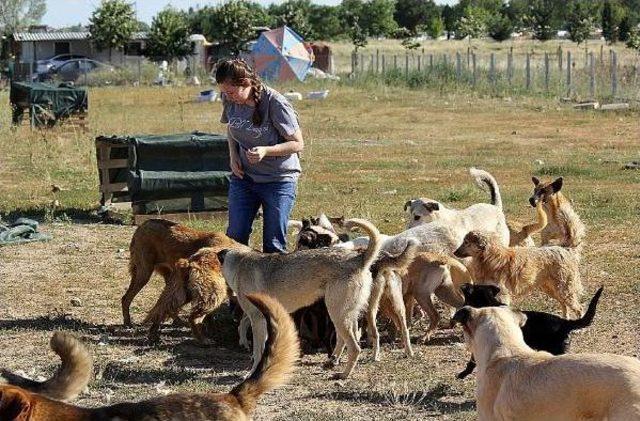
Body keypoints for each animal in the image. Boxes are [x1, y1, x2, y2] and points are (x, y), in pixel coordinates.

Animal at [218, 218, 418, 378]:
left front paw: (252, 373)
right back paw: (334, 362)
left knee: (355, 347)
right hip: (349, 315)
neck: (240, 262)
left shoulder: (257, 321)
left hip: (339, 313)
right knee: (351, 339)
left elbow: (258, 352)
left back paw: (344, 374)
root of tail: (359, 258)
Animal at [452, 231, 584, 316]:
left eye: (466, 242)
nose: (454, 252)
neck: (487, 258)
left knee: (579, 309)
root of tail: (565, 250)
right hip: (552, 290)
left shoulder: (502, 295)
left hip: (564, 290)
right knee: (564, 306)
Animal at [458, 282, 604, 378]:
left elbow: (471, 361)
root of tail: (565, 323)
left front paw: (463, 373)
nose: (463, 284)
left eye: (468, 290)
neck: (490, 303)